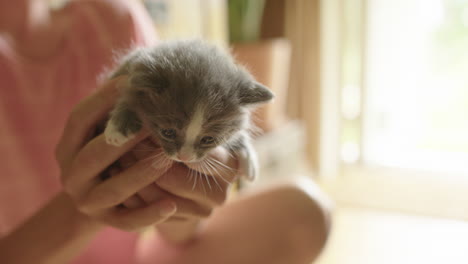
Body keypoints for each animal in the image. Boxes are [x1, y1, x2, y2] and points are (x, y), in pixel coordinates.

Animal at [104, 40, 272, 182]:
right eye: (168, 133)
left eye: (208, 139)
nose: (184, 157)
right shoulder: (127, 71)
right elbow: (128, 95)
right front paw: (117, 128)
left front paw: (249, 161)